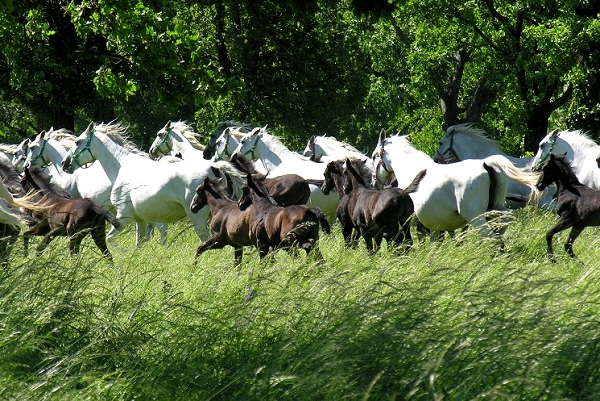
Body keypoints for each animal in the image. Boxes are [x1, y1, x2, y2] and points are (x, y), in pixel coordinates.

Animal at [62, 120, 245, 244]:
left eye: (77, 142)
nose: (65, 164)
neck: (122, 167)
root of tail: (214, 167)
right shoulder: (141, 221)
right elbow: (140, 244)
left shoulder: (123, 217)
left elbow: (111, 239)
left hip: (198, 219)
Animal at [370, 130, 540, 238]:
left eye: (373, 156)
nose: (374, 182)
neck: (412, 171)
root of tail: (486, 164)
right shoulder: (434, 225)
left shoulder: (415, 222)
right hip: (496, 208)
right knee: (504, 223)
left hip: (476, 218)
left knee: (490, 236)